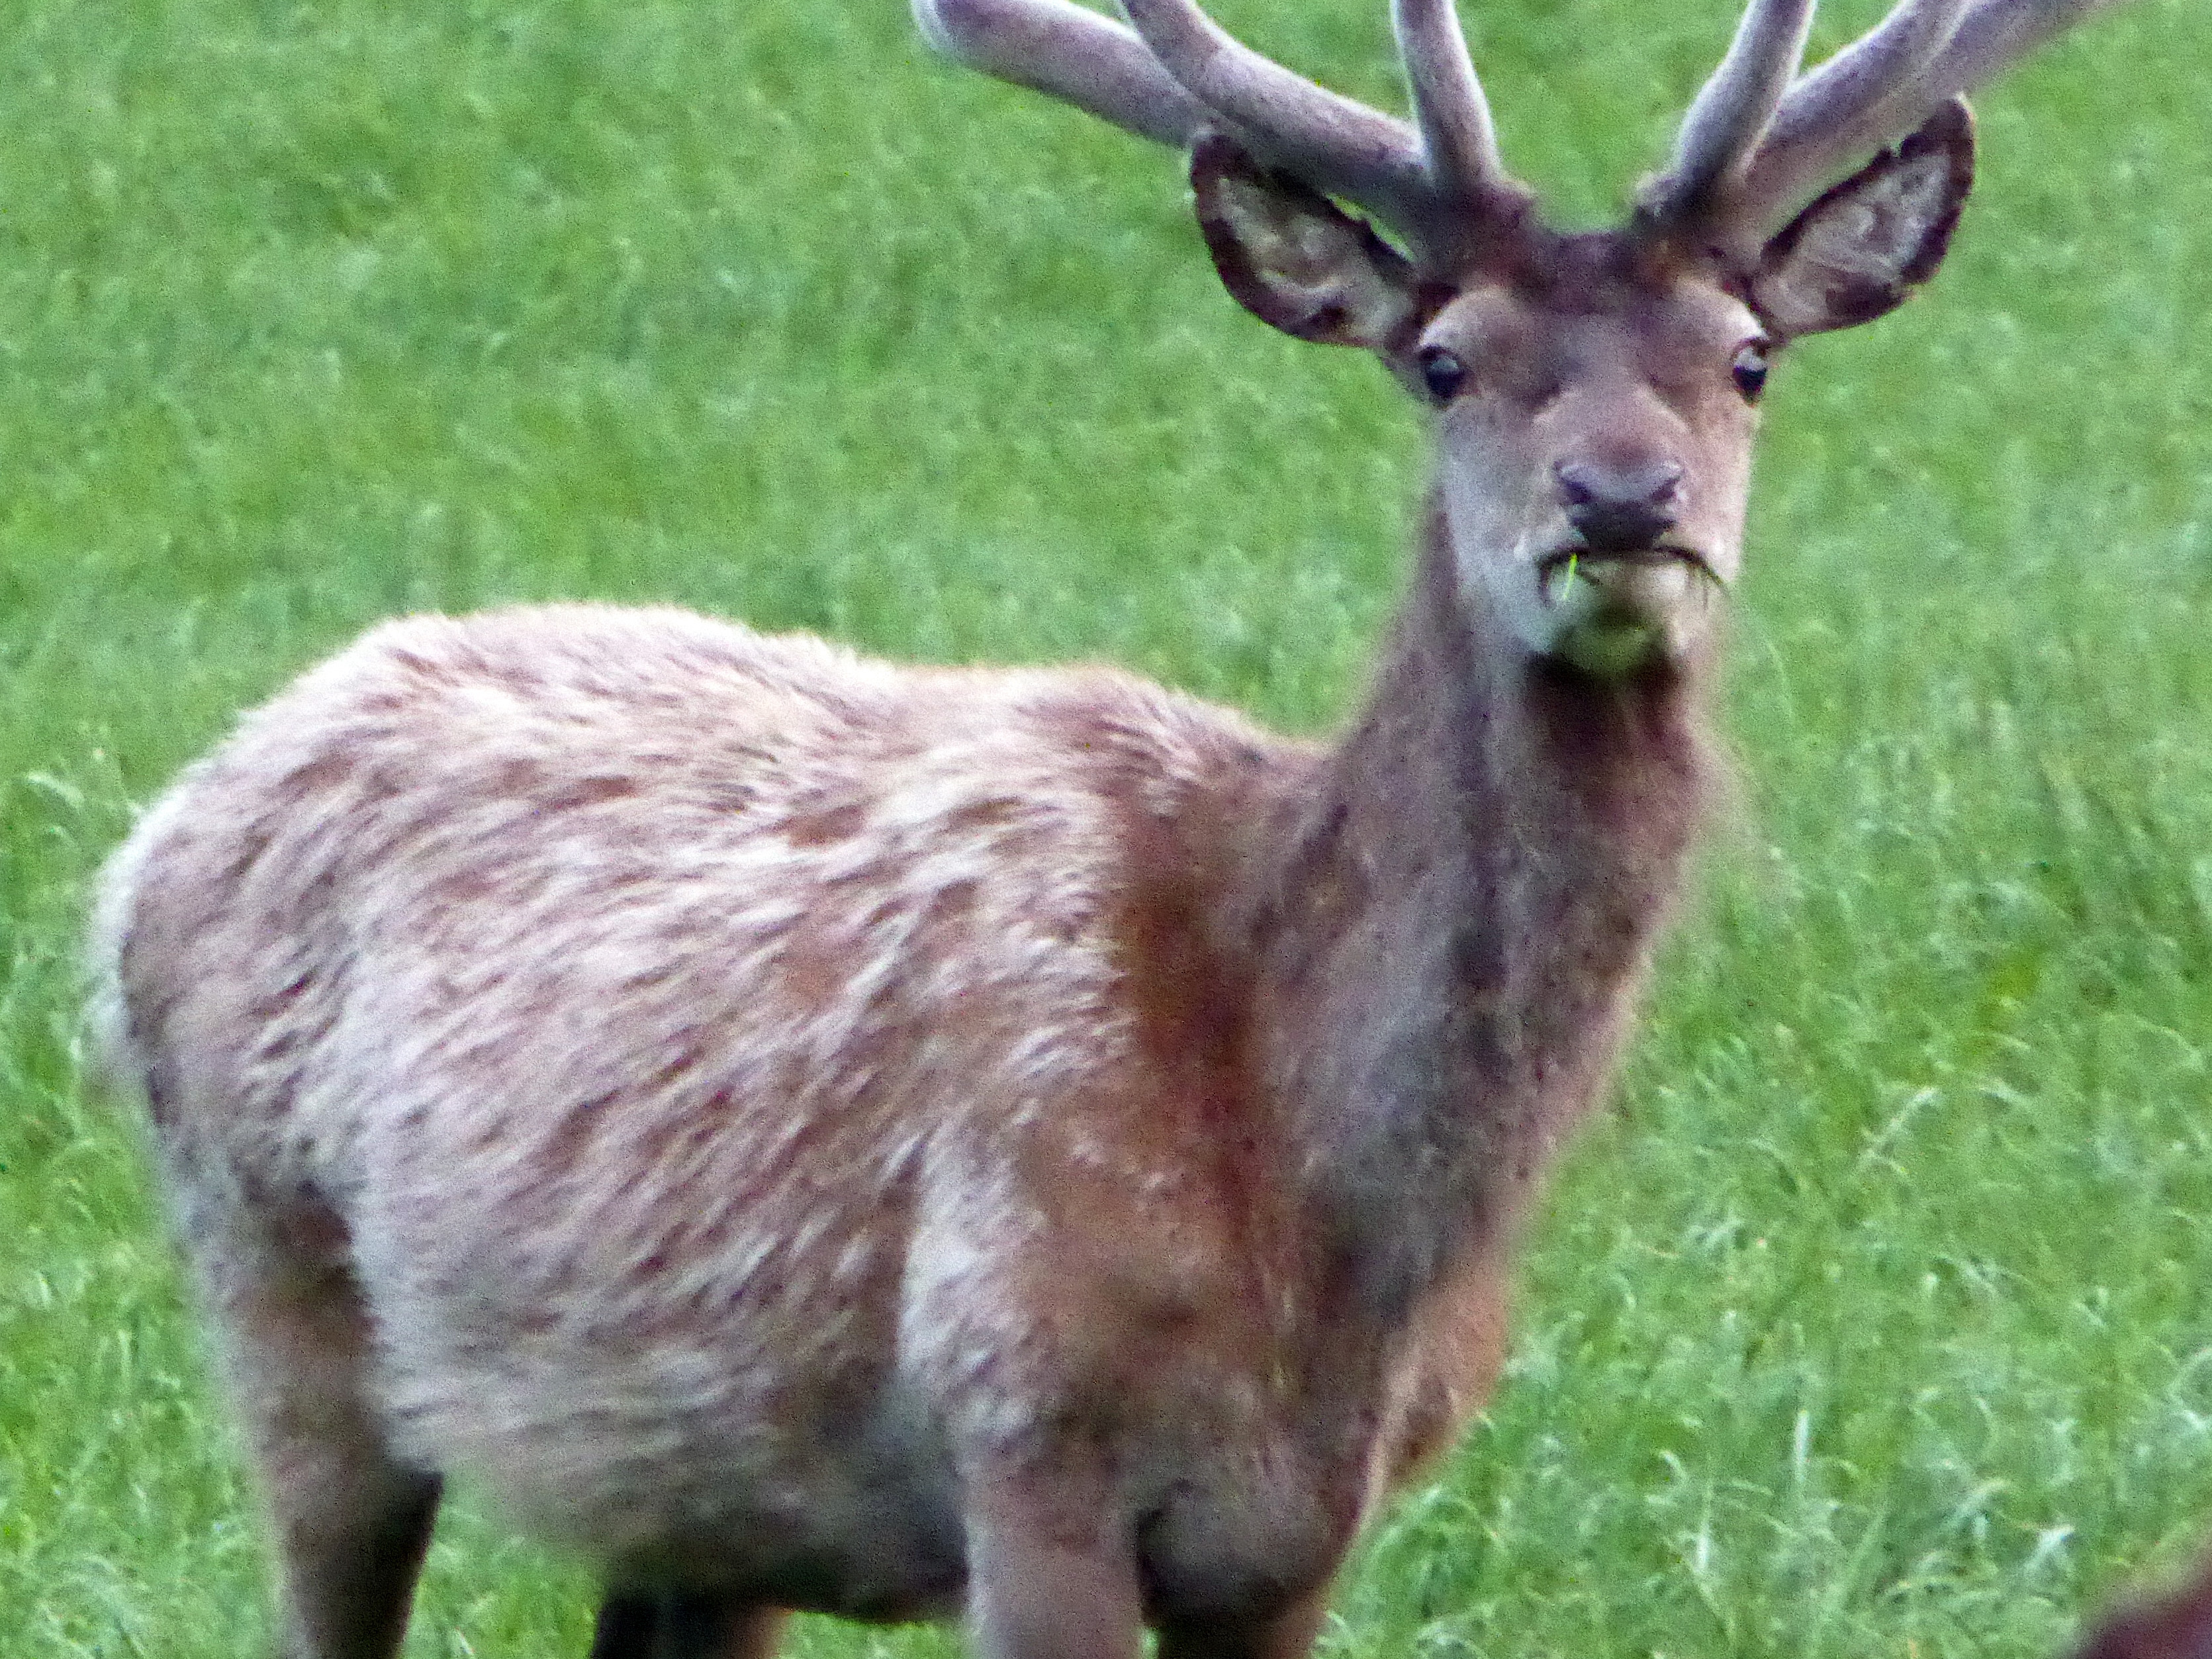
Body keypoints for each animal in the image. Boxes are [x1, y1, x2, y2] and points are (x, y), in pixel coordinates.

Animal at [88, 1, 2136, 1656]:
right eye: (1443, 360)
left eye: (1745, 355)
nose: (1620, 505)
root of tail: (154, 831)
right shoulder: (1022, 1428)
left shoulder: (1304, 1533)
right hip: (272, 1288)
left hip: (689, 1491)